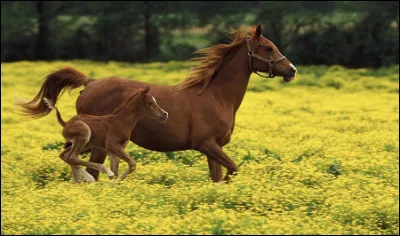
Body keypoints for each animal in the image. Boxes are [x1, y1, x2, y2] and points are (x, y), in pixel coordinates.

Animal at [18, 24, 296, 183]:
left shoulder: (213, 148)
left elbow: (218, 178)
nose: (291, 70)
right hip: (96, 144)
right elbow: (233, 170)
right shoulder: (206, 144)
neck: (217, 97)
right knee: (86, 166)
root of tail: (91, 81)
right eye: (268, 48)